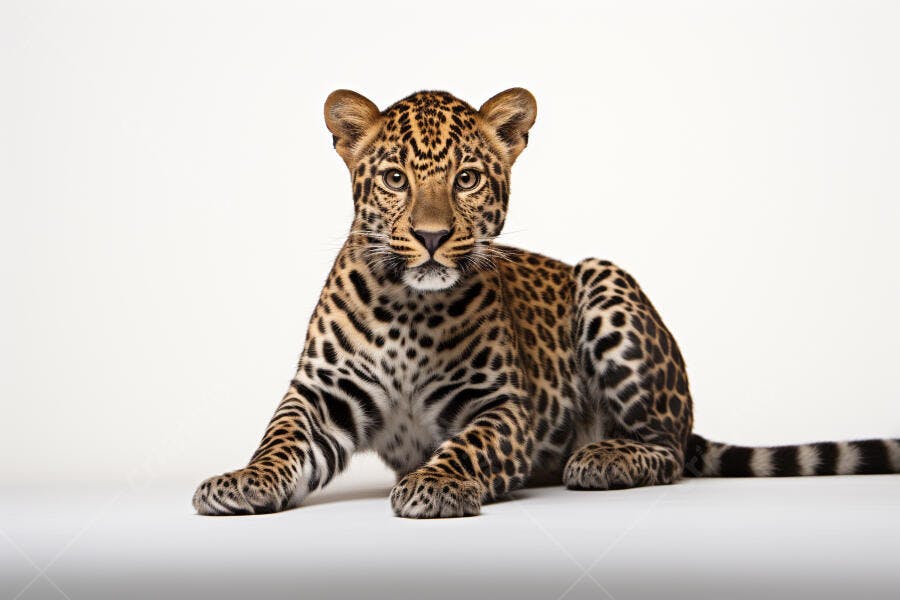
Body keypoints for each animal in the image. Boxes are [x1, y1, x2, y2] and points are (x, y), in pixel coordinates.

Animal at [192, 88, 900, 518]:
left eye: (466, 179)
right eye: (395, 178)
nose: (430, 236)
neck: (408, 309)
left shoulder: (504, 407)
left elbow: (468, 445)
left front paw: (435, 483)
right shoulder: (321, 394)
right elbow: (281, 437)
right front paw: (242, 480)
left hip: (606, 281)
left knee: (669, 452)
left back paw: (602, 460)